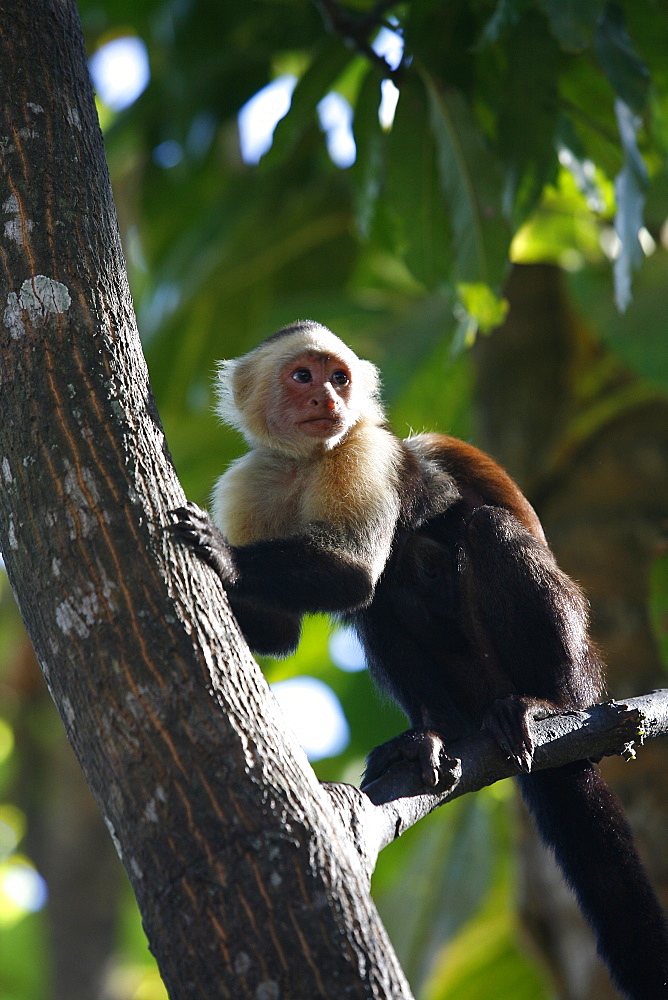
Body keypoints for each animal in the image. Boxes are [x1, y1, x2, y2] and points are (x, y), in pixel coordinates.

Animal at [170, 322, 668, 1000]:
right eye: (303, 376)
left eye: (339, 377)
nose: (329, 398)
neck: (307, 463)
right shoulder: (252, 478)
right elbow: (283, 630)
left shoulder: (363, 453)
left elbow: (353, 575)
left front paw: (223, 554)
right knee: (386, 601)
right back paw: (432, 734)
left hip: (578, 665)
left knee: (481, 534)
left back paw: (547, 704)